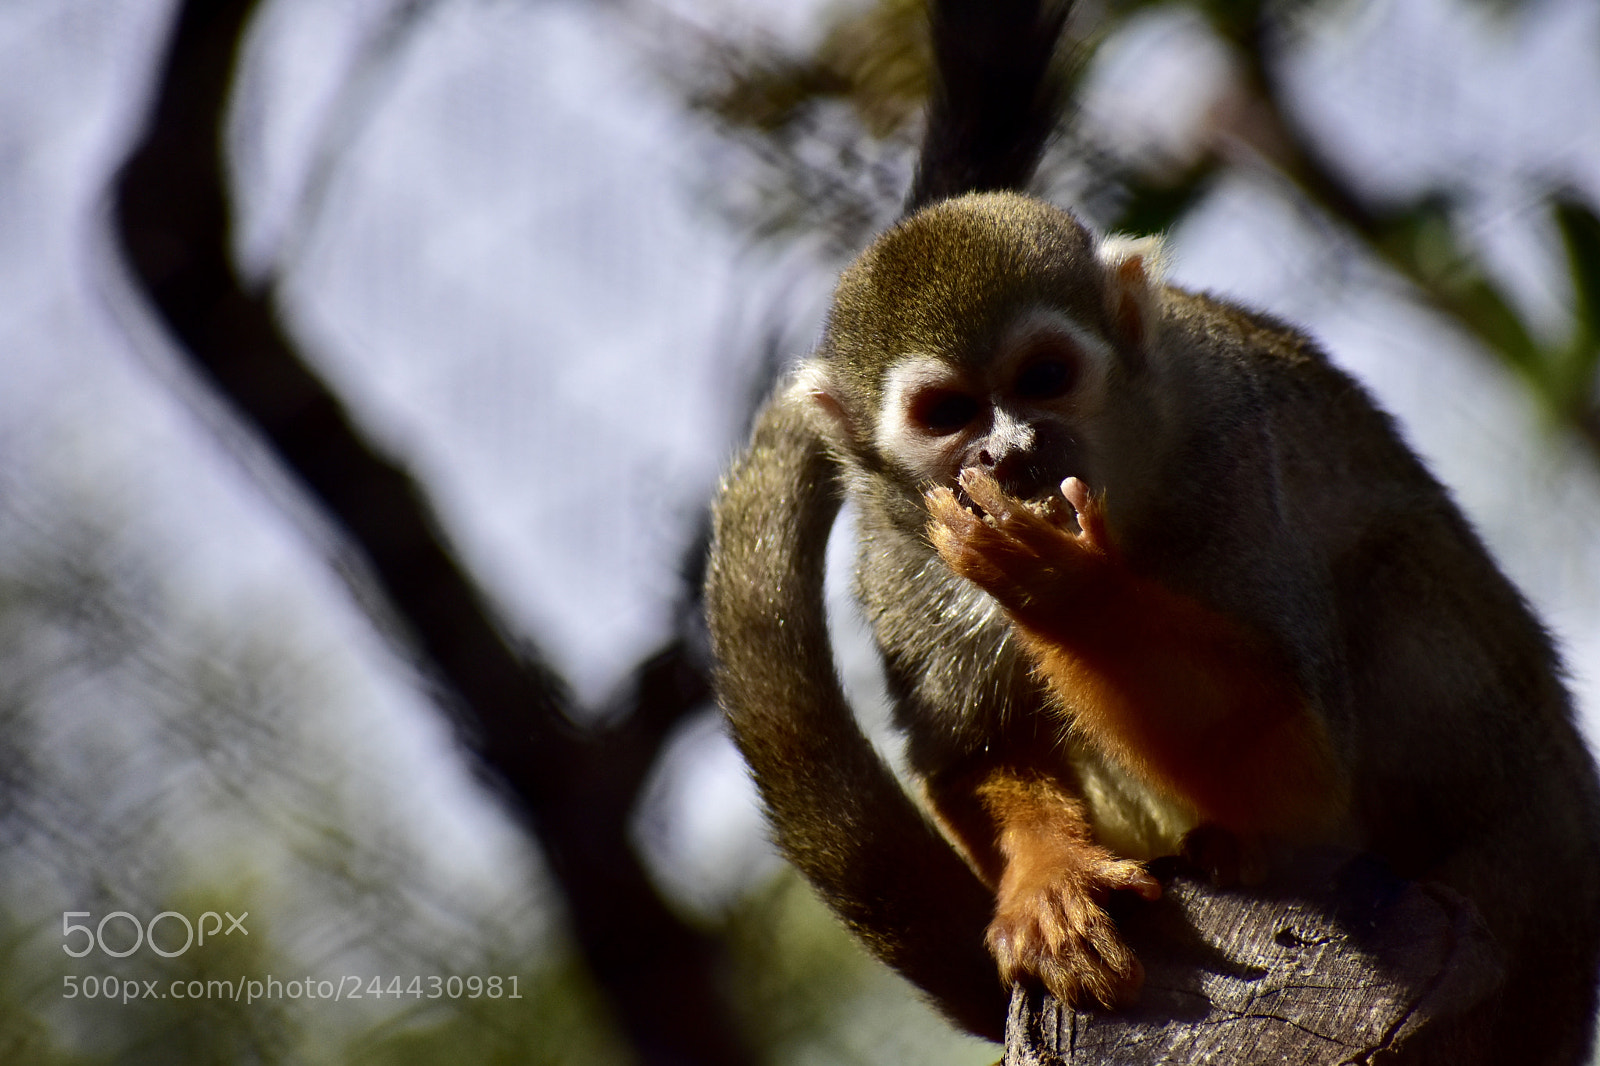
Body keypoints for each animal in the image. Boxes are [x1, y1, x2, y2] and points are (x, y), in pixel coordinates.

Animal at [702, 2, 1600, 1062]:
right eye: (949, 413)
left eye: (1045, 376)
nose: (1011, 450)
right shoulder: (895, 549)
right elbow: (968, 757)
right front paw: (1046, 880)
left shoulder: (1227, 446)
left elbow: (1301, 765)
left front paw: (1068, 590)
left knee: (1393, 572)